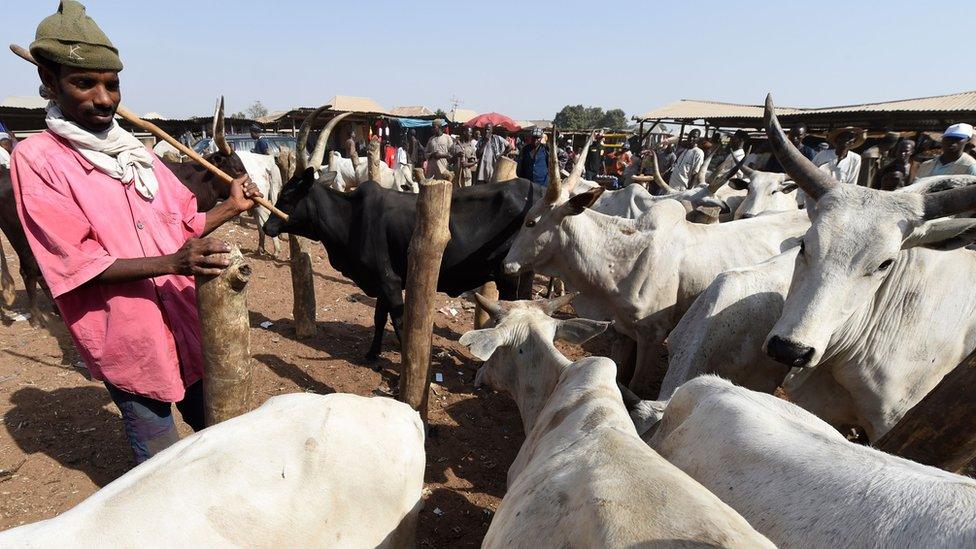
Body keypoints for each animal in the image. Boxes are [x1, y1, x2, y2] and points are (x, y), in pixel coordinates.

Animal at [264, 170, 536, 360]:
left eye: (286, 195)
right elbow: (378, 319)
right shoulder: (383, 281)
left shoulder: (390, 282)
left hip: (508, 276)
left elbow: (399, 323)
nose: (267, 226)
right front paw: (371, 355)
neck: (350, 219)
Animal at [504, 156, 808, 396]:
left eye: (531, 222)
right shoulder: (622, 332)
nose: (507, 264)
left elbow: (636, 385)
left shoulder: (653, 336)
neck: (622, 256)